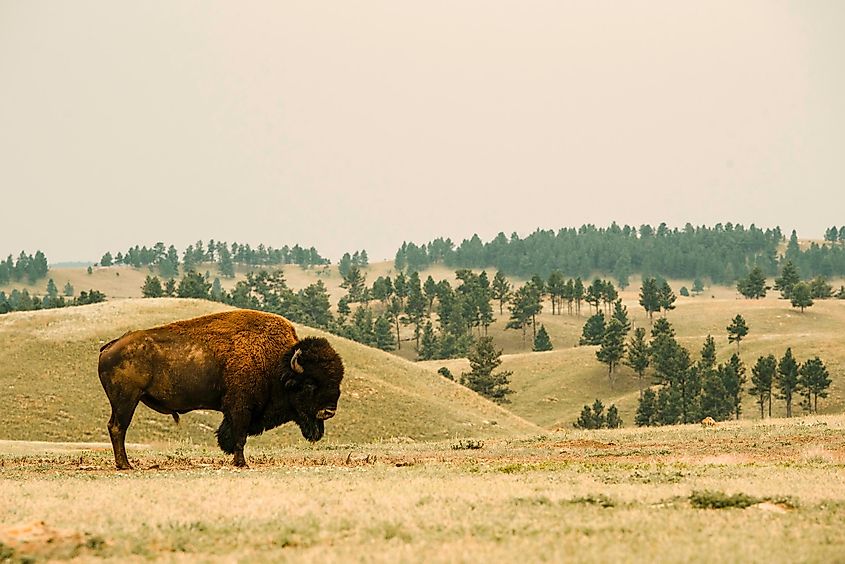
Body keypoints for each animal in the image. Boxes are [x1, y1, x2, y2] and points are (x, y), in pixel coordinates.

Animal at [99, 308, 346, 468]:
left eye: (337, 382)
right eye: (310, 384)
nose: (329, 411)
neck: (277, 363)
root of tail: (110, 346)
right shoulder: (240, 408)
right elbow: (239, 436)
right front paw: (241, 463)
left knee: (114, 427)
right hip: (126, 401)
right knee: (118, 428)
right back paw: (125, 465)